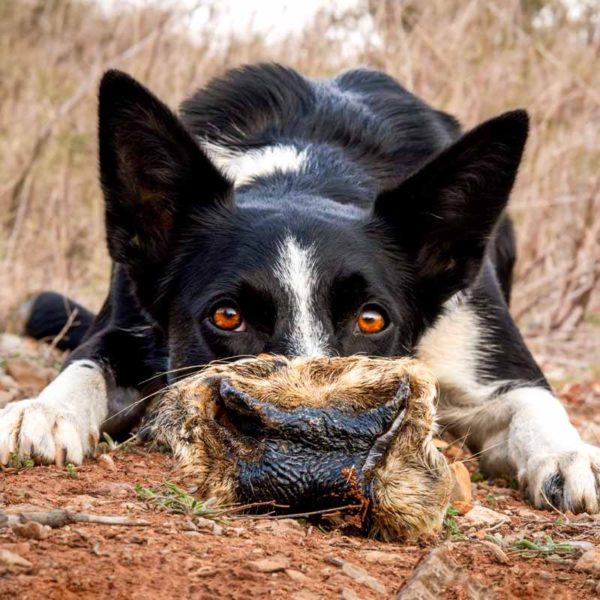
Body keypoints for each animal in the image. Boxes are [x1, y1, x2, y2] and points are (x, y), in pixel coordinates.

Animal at [2, 67, 596, 516]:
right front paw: (44, 410)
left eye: (372, 320)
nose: (316, 460)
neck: (308, 174)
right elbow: (87, 364)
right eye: (227, 316)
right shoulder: (124, 323)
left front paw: (570, 455)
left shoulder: (486, 345)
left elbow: (535, 401)